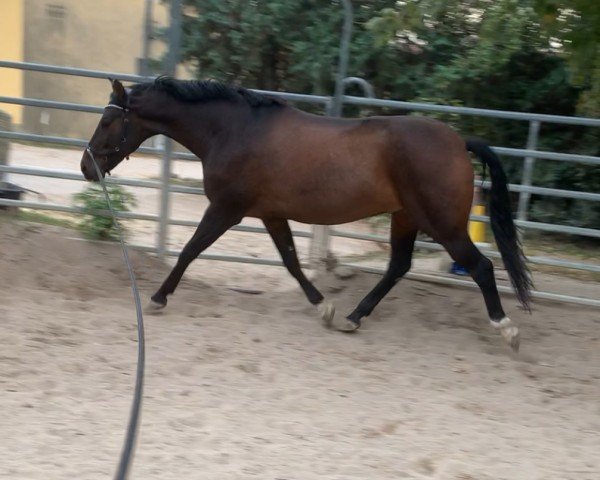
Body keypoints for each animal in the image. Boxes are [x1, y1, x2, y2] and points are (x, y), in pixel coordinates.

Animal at [82, 78, 532, 348]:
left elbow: (190, 250)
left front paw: (158, 298)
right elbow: (292, 262)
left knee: (481, 267)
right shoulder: (270, 214)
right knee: (399, 266)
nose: (87, 168)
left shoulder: (226, 209)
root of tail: (459, 141)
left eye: (106, 121)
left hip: (442, 224)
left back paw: (507, 328)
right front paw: (324, 307)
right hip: (406, 217)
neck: (233, 131)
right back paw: (353, 317)